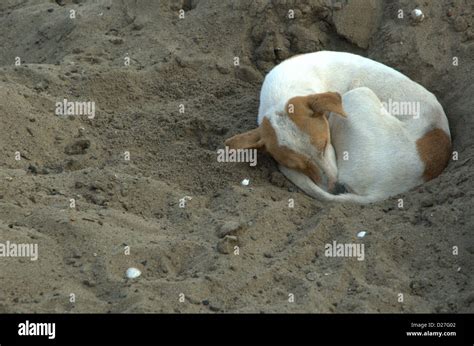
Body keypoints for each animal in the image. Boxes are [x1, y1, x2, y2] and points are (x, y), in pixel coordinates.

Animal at [226, 51, 452, 203]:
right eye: (298, 165)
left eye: (325, 144)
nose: (334, 189)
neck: (283, 93)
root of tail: (382, 192)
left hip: (357, 94)